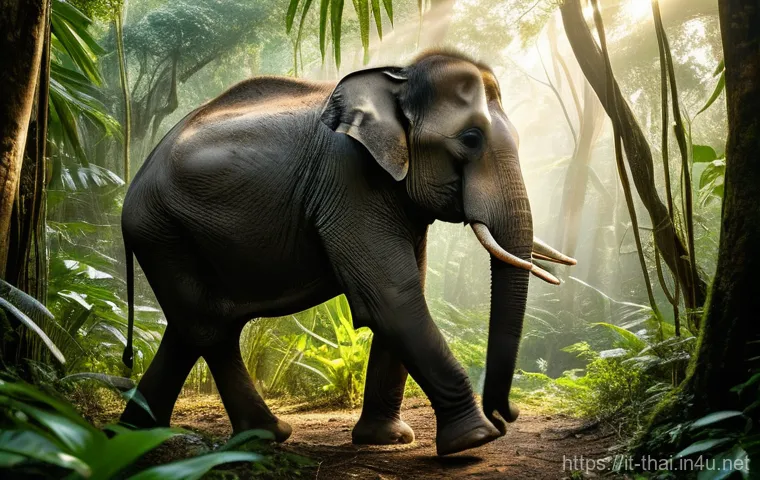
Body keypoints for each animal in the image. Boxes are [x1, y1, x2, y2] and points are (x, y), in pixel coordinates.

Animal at [119, 48, 576, 456]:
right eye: (470, 138)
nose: (508, 414)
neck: (397, 77)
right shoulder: (349, 179)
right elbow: (392, 298)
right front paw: (475, 440)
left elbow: (403, 293)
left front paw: (387, 440)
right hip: (162, 230)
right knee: (209, 328)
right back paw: (259, 435)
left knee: (193, 327)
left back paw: (134, 435)